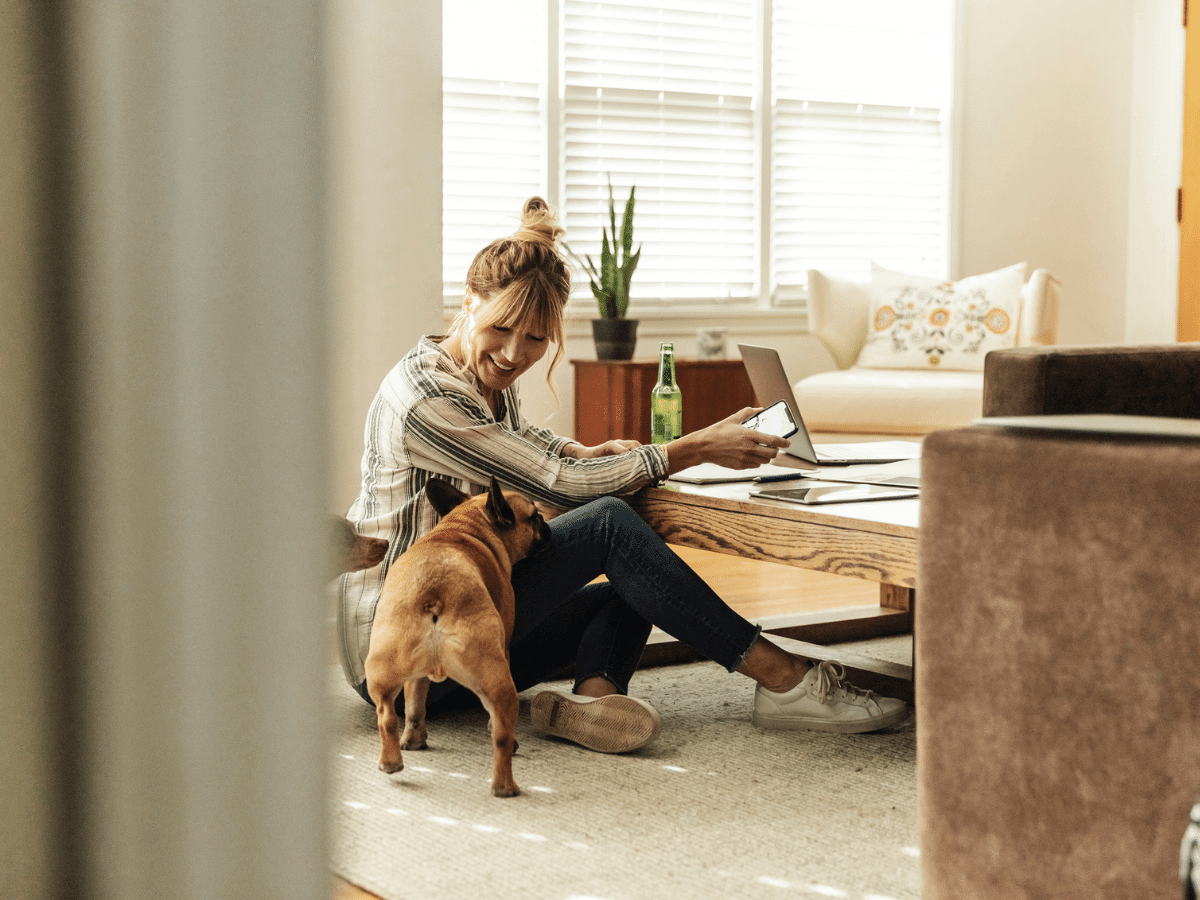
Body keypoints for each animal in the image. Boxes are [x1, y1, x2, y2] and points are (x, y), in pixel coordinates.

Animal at [364, 475, 552, 801]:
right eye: (534, 517)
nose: (547, 525)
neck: (466, 526)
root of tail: (434, 596)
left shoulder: (415, 677)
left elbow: (415, 704)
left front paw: (414, 737)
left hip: (383, 667)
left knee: (387, 715)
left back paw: (393, 760)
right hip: (498, 678)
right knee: (501, 735)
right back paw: (505, 785)